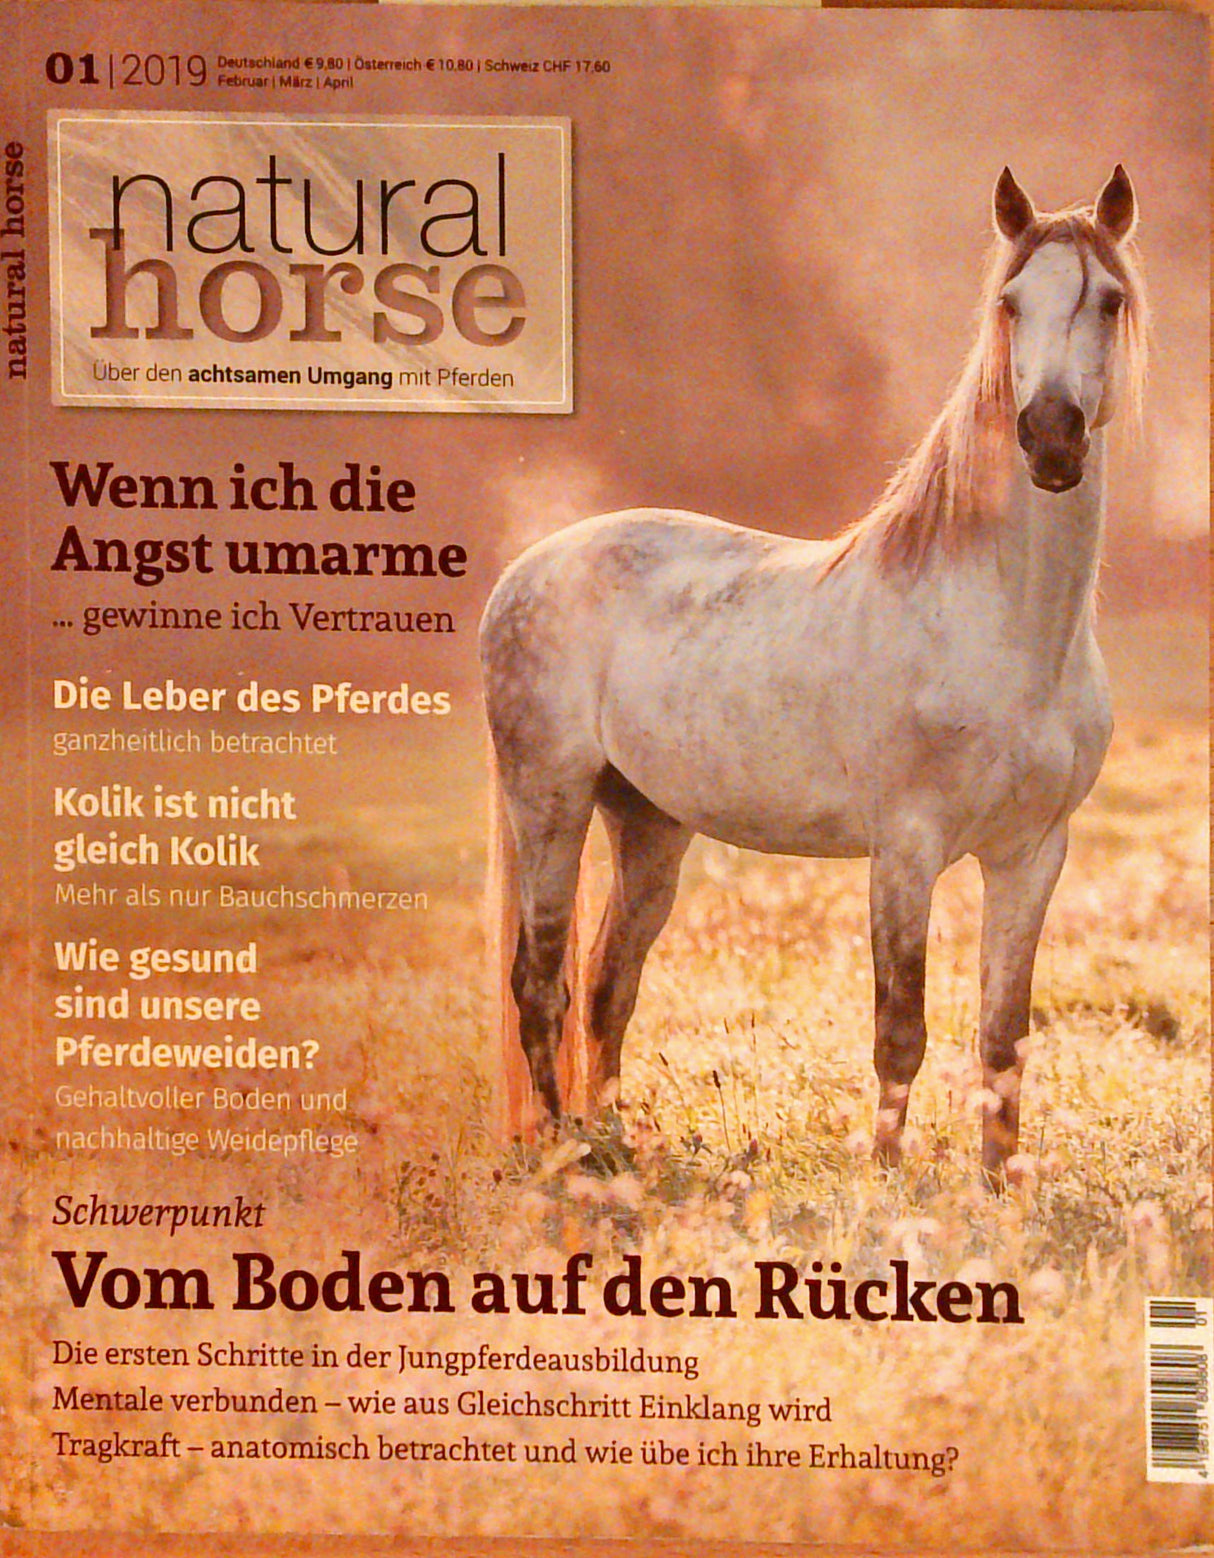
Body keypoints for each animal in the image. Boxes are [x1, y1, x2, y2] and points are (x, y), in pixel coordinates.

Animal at [480, 166, 1147, 1183]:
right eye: (1009, 303)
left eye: (1107, 300)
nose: (1050, 439)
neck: (1007, 629)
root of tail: (524, 571)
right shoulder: (905, 850)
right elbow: (900, 1030)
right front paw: (886, 1180)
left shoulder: (1032, 855)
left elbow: (1004, 1040)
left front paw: (998, 1190)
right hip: (548, 805)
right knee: (540, 985)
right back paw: (566, 1156)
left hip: (648, 827)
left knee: (607, 986)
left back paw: (615, 1142)